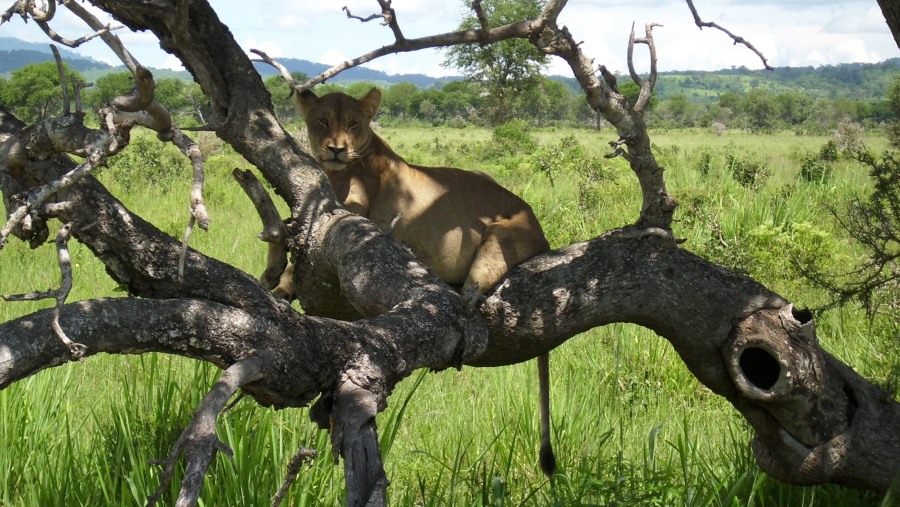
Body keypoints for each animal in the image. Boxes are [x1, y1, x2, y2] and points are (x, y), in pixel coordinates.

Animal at [278, 86, 556, 476]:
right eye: (322, 121)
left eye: (353, 123)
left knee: (468, 302)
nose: (336, 148)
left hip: (496, 241)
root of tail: (541, 231)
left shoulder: (357, 210)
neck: (341, 172)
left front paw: (282, 282)